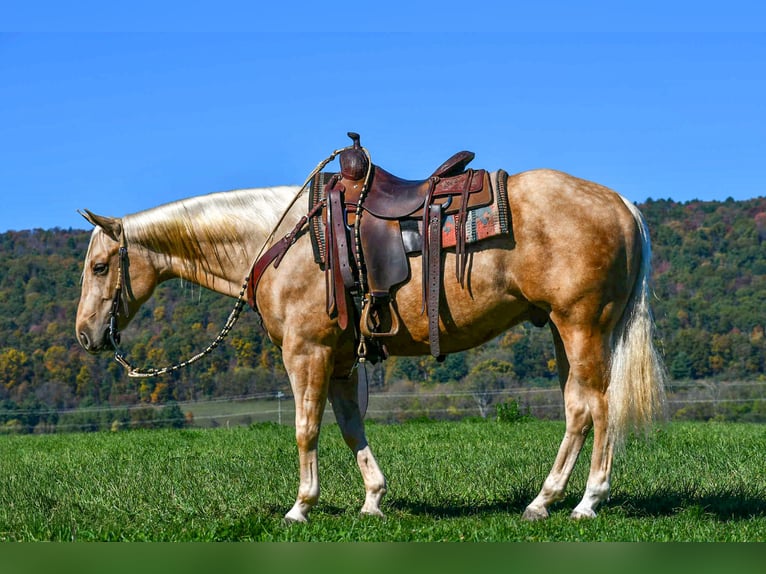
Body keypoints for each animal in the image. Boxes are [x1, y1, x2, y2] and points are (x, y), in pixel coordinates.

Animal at [75, 167, 667, 522]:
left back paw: (582, 502)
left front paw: (301, 507)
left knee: (596, 407)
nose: (85, 334)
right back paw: (546, 501)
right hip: (563, 331)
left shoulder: (306, 352)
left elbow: (306, 429)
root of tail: (621, 204)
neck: (279, 239)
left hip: (582, 326)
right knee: (579, 409)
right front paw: (373, 500)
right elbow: (349, 427)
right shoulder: (338, 359)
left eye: (101, 266)